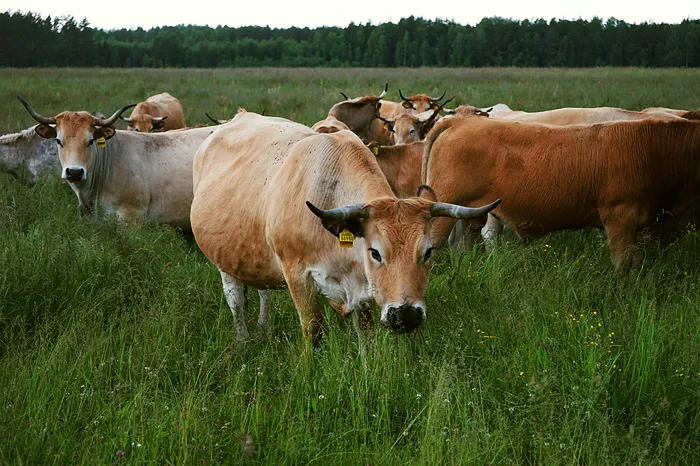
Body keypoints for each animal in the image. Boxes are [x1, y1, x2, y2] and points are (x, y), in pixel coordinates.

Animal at [190, 110, 500, 346]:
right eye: (375, 252)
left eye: (427, 252)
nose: (406, 315)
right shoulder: (297, 278)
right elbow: (314, 333)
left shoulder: (362, 294)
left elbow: (366, 338)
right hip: (225, 264)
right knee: (236, 302)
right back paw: (242, 340)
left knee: (262, 292)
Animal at [422, 115, 700, 271]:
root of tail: (461, 120)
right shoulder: (620, 217)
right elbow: (622, 265)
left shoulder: (643, 224)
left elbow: (636, 265)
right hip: (443, 207)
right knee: (431, 249)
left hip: (471, 214)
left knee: (463, 245)